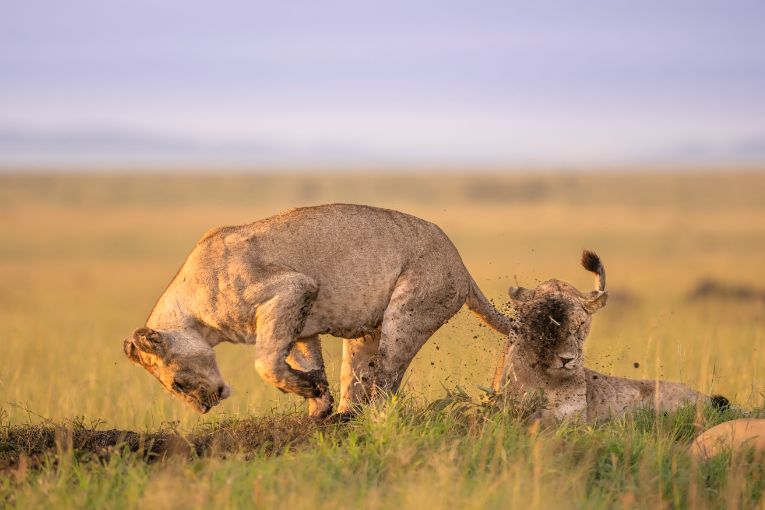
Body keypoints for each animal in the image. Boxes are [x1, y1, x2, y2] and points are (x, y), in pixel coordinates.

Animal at [122, 203, 510, 418]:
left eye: (178, 382)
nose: (204, 407)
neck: (195, 316)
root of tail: (460, 263)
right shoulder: (300, 323)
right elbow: (303, 361)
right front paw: (317, 403)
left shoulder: (291, 288)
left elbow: (266, 362)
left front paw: (309, 390)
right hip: (365, 334)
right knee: (358, 375)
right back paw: (343, 416)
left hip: (409, 310)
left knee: (386, 377)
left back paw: (370, 415)